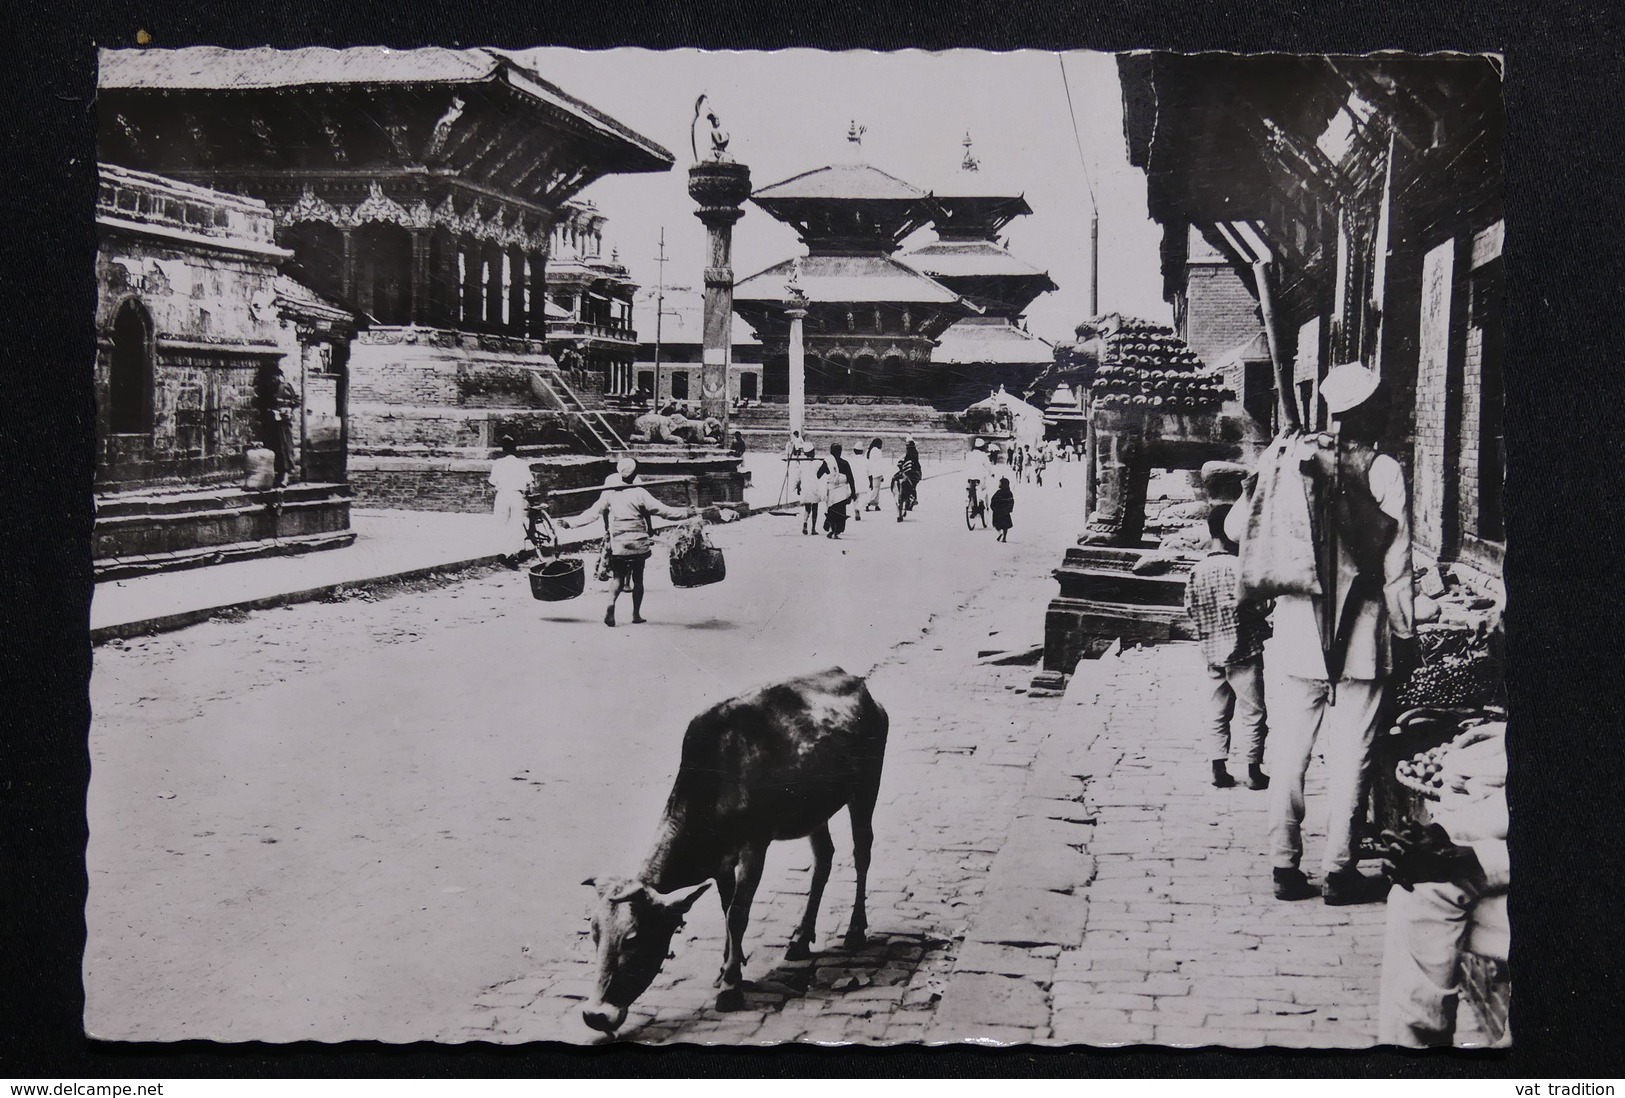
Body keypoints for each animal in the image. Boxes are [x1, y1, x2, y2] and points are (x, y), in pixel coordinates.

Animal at [585, 665, 890, 1033]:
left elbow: (738, 913)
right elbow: (725, 908)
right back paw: (801, 939)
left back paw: (855, 931)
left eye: (632, 937)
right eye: (594, 934)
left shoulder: (754, 847)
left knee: (862, 852)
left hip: (866, 788)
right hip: (814, 811)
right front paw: (727, 968)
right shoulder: (722, 862)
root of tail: (857, 682)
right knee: (824, 859)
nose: (594, 1015)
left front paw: (731, 986)